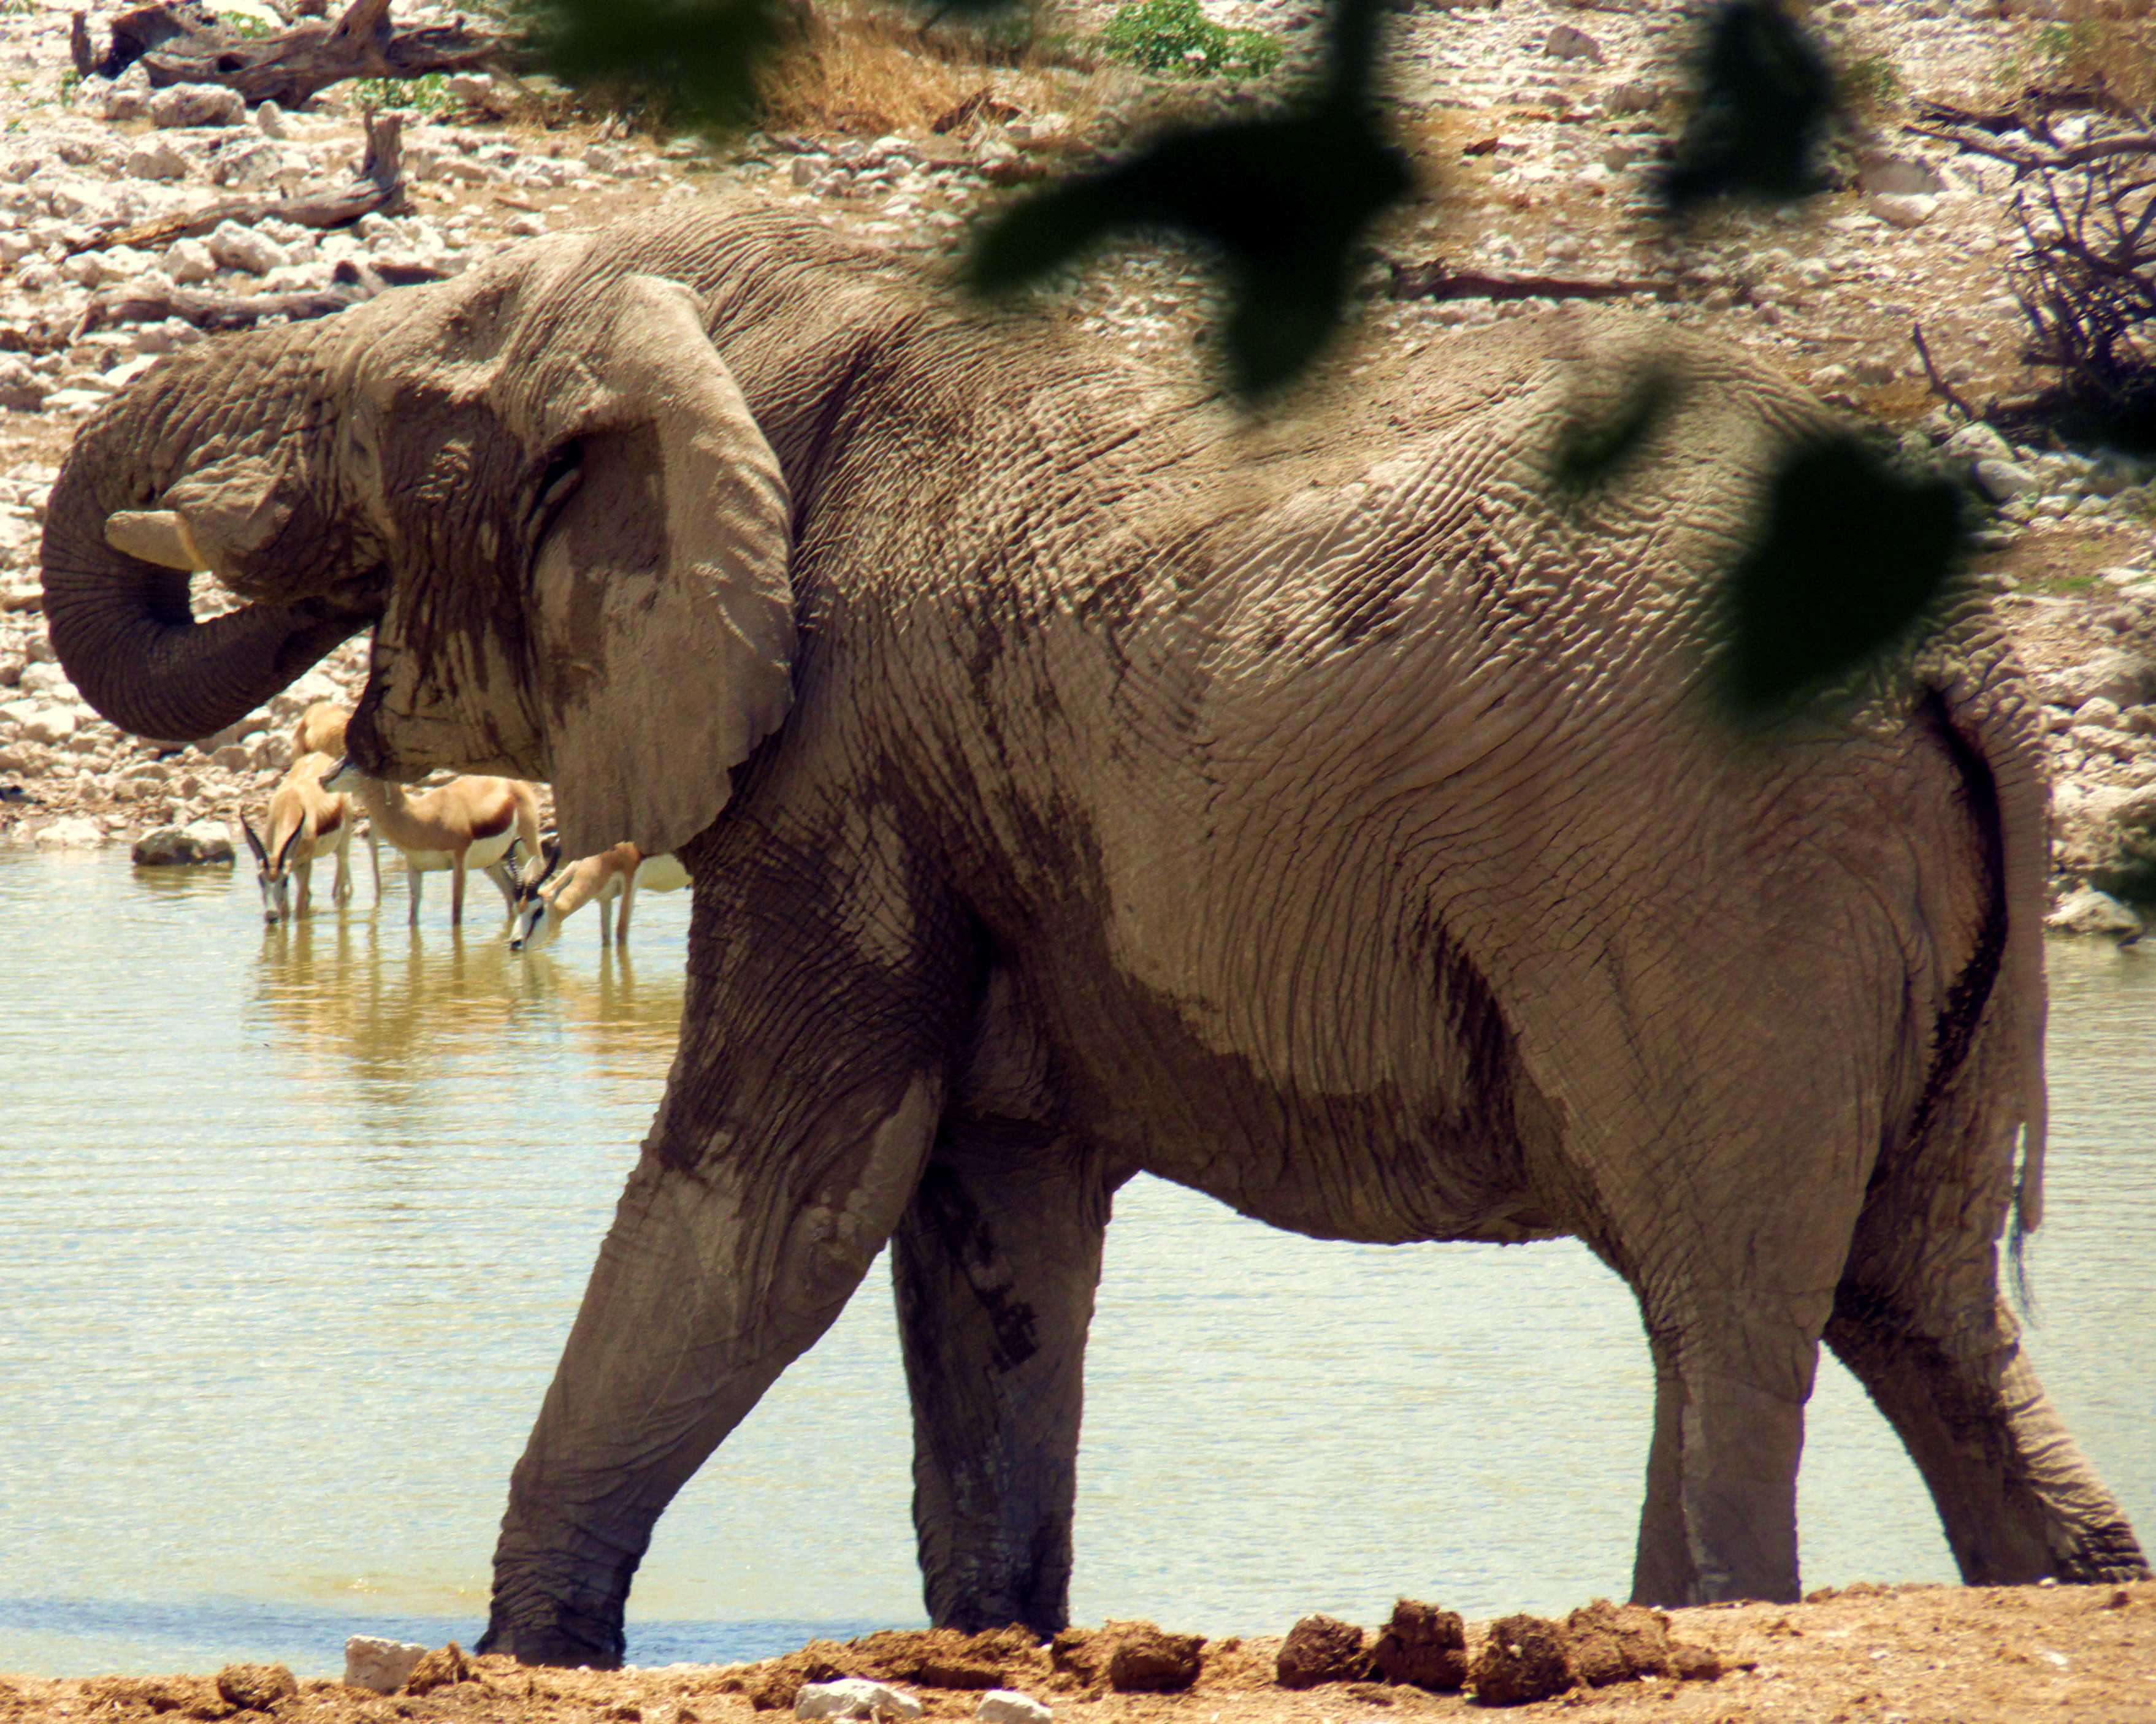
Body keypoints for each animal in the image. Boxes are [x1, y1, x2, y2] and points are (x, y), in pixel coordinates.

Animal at [41, 203, 2147, 1666]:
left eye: (405, 423)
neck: (775, 313)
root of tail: (1967, 662)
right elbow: (986, 1229)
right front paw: (995, 1637)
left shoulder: (844, 773)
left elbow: (773, 1203)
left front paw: (520, 1650)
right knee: (1920, 1301)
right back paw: (2061, 1577)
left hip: (1702, 870)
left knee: (1730, 1309)